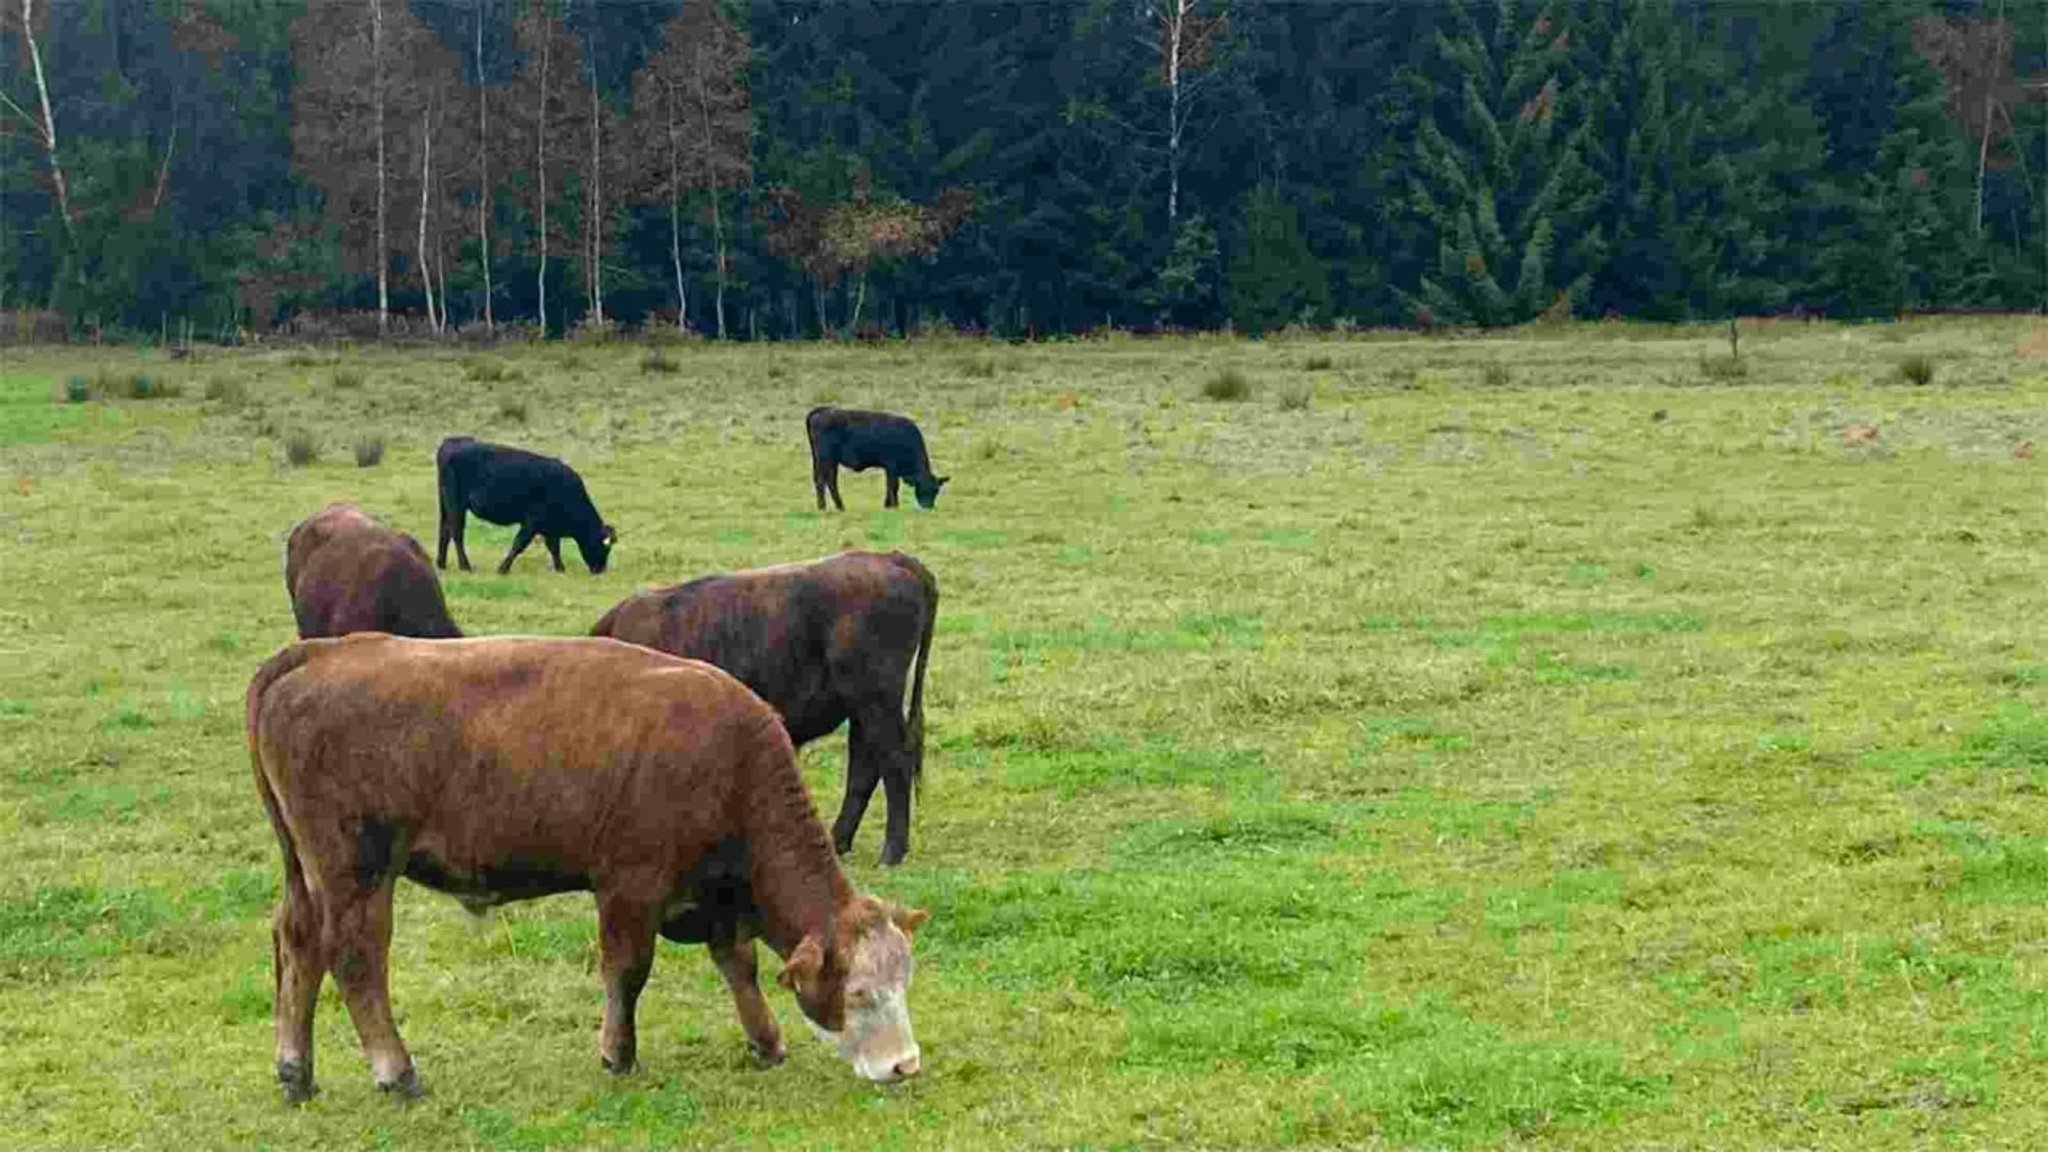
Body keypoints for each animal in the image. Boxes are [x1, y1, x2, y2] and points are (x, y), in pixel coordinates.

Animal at [241, 631, 937, 1098]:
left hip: (304, 870)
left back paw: (295, 1070)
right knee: (356, 957)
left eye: (905, 980)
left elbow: (738, 965)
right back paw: (396, 1070)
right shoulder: (629, 889)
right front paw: (618, 1054)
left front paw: (765, 1040)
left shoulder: (715, 897)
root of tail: (322, 652)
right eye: (859, 991)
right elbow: (627, 973)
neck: (729, 761)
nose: (904, 1064)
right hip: (358, 873)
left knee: (299, 943)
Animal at [438, 432, 614, 569]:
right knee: (456, 533)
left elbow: (553, 547)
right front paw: (503, 568)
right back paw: (465, 566)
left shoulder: (549, 525)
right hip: (456, 505)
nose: (601, 569)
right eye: (605, 548)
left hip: (447, 505)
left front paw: (560, 568)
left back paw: (441, 564)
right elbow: (519, 544)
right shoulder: (532, 521)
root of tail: (451, 442)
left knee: (445, 531)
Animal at [593, 545, 937, 860]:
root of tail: (889, 558)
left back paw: (891, 853)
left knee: (895, 762)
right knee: (865, 768)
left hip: (876, 701)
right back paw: (839, 842)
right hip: (863, 709)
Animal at [806, 405, 950, 508]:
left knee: (830, 481)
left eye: (936, 490)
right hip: (825, 459)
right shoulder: (892, 466)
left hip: (828, 461)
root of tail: (823, 410)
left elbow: (891, 486)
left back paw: (839, 507)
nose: (928, 507)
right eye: (922, 488)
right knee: (822, 481)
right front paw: (893, 505)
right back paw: (823, 507)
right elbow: (893, 485)